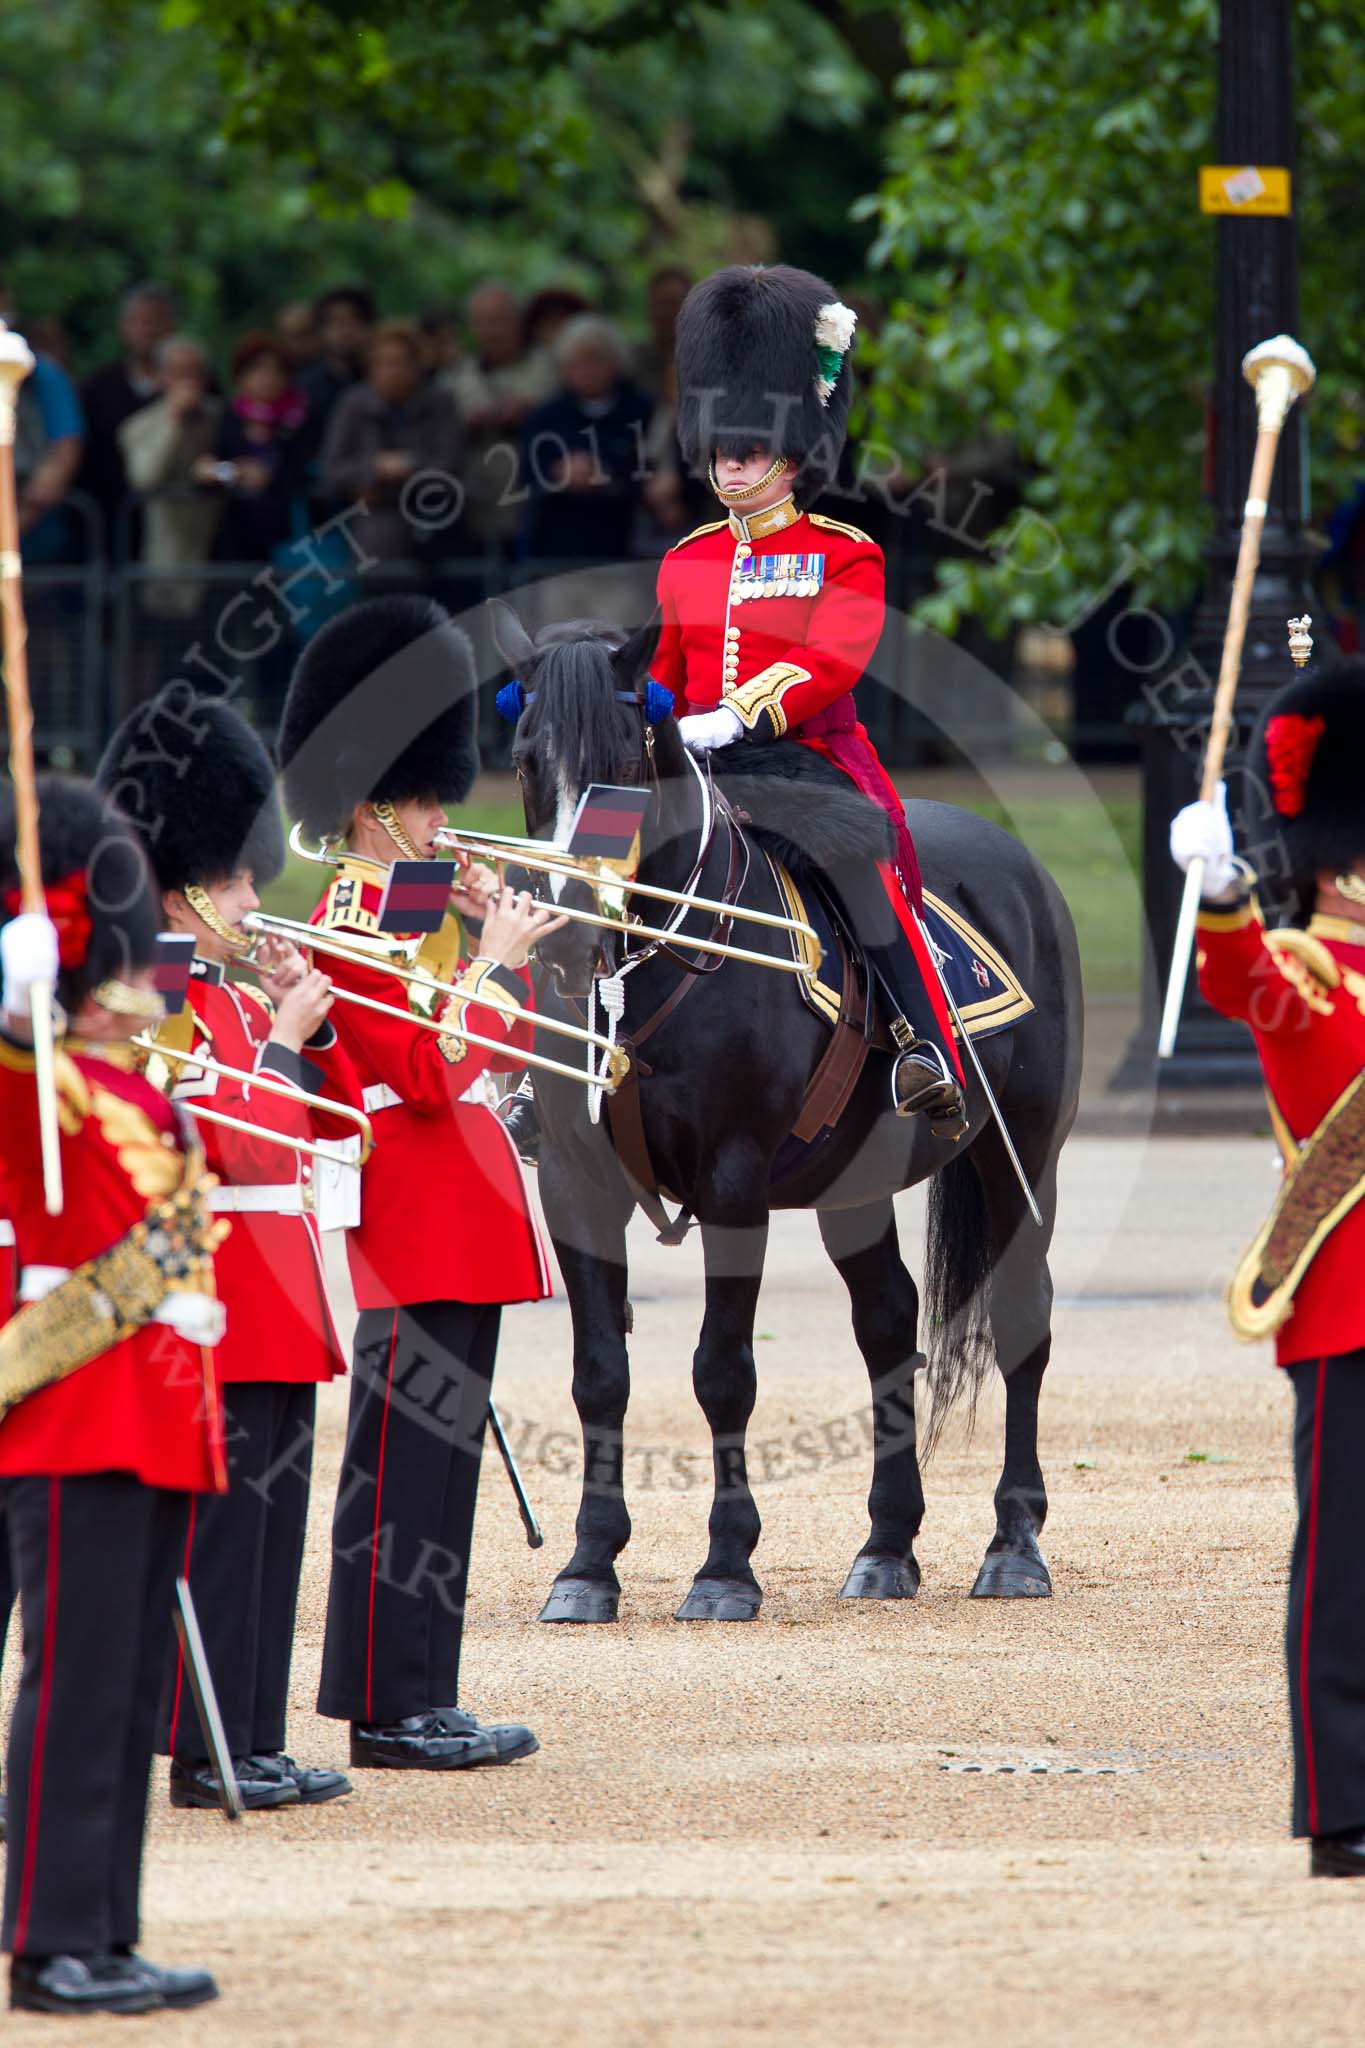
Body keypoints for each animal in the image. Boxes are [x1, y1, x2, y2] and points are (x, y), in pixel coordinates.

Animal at [497, 598, 1080, 1622]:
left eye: (625, 761)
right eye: (528, 758)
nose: (566, 929)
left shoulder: (733, 1181)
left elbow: (721, 1372)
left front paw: (725, 1567)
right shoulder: (574, 1182)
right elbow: (599, 1373)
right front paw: (587, 1565)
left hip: (1022, 1155)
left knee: (1018, 1318)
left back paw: (1013, 1545)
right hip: (855, 1183)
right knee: (888, 1322)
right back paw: (886, 1546)